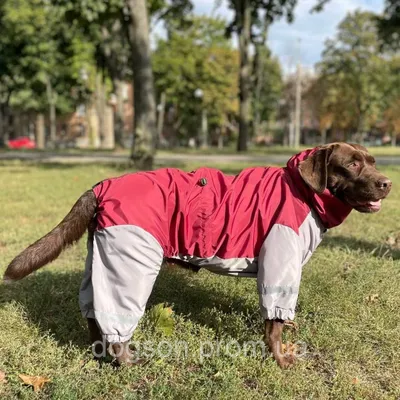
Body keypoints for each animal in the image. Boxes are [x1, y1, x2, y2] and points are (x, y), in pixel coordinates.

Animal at [3, 143, 390, 368]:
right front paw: (281, 361)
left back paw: (98, 352)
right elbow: (275, 325)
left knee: (92, 309)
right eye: (352, 165)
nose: (387, 183)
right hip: (130, 258)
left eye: (372, 162)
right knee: (117, 318)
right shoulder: (280, 260)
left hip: (100, 253)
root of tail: (102, 185)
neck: (303, 191)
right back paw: (129, 365)